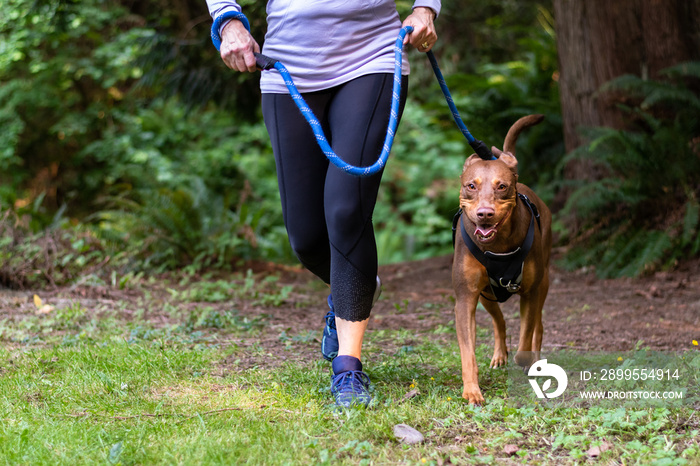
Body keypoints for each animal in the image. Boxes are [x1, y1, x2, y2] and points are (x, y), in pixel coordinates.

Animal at [454, 114, 552, 404]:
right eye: (471, 185)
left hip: (543, 282)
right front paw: (472, 391)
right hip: (487, 294)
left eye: (502, 186)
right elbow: (468, 351)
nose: (485, 213)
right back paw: (499, 355)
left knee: (538, 326)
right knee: (499, 321)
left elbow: (526, 335)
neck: (497, 246)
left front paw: (525, 359)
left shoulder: (530, 291)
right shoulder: (465, 297)